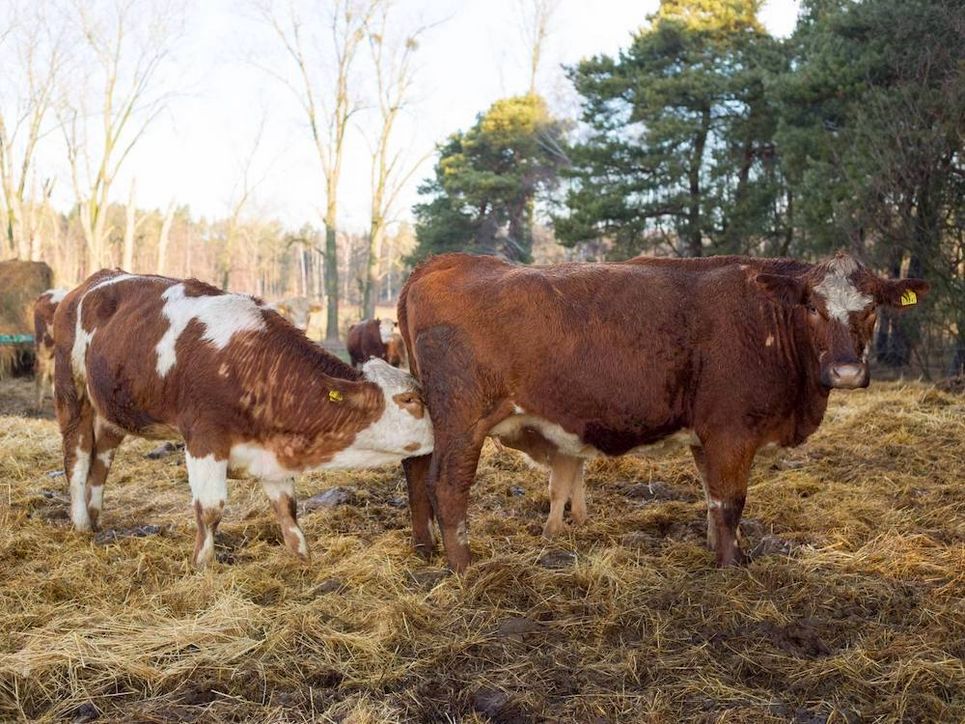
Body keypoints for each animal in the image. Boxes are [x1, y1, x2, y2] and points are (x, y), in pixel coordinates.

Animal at [53, 270, 433, 567]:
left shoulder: (271, 450)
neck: (254, 364)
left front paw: (302, 558)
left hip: (112, 410)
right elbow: (210, 509)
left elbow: (287, 508)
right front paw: (202, 565)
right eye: (410, 399)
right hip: (71, 393)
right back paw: (81, 523)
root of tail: (88, 283)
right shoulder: (204, 439)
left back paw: (96, 518)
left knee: (101, 459)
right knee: (77, 458)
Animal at [397, 251, 928, 572]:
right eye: (813, 307)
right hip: (463, 420)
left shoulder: (707, 436)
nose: (845, 371)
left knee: (416, 471)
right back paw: (462, 566)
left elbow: (713, 500)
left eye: (871, 308)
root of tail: (448, 262)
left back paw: (424, 549)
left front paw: (722, 550)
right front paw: (730, 567)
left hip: (433, 418)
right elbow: (730, 502)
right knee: (447, 485)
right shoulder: (732, 432)